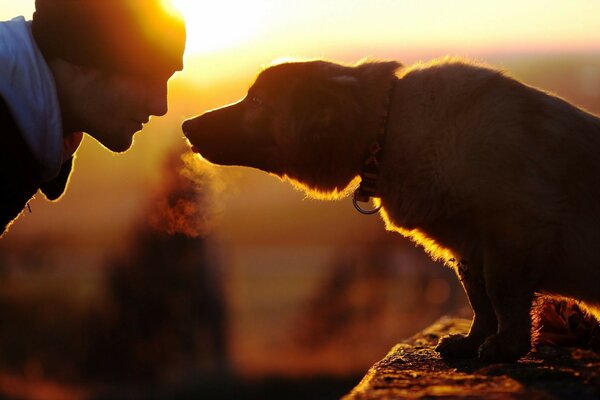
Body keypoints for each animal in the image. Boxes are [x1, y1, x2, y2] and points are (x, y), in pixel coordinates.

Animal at [183, 57, 600, 362]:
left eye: (257, 102)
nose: (186, 124)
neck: (388, 130)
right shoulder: (468, 248)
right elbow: (479, 300)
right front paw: (471, 341)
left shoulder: (512, 230)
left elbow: (499, 294)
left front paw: (506, 347)